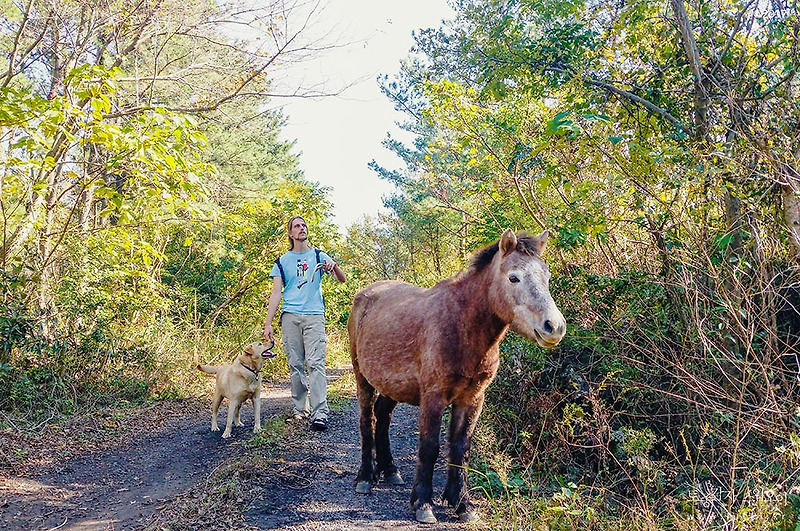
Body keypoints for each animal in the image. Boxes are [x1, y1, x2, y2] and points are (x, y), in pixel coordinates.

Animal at [346, 229, 564, 524]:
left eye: (547, 277)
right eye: (513, 277)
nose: (554, 327)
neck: (461, 327)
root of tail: (365, 294)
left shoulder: (472, 399)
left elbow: (461, 448)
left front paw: (462, 503)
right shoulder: (433, 398)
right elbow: (430, 447)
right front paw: (423, 504)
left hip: (393, 385)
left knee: (383, 416)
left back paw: (390, 470)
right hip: (363, 379)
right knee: (366, 420)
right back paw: (366, 477)